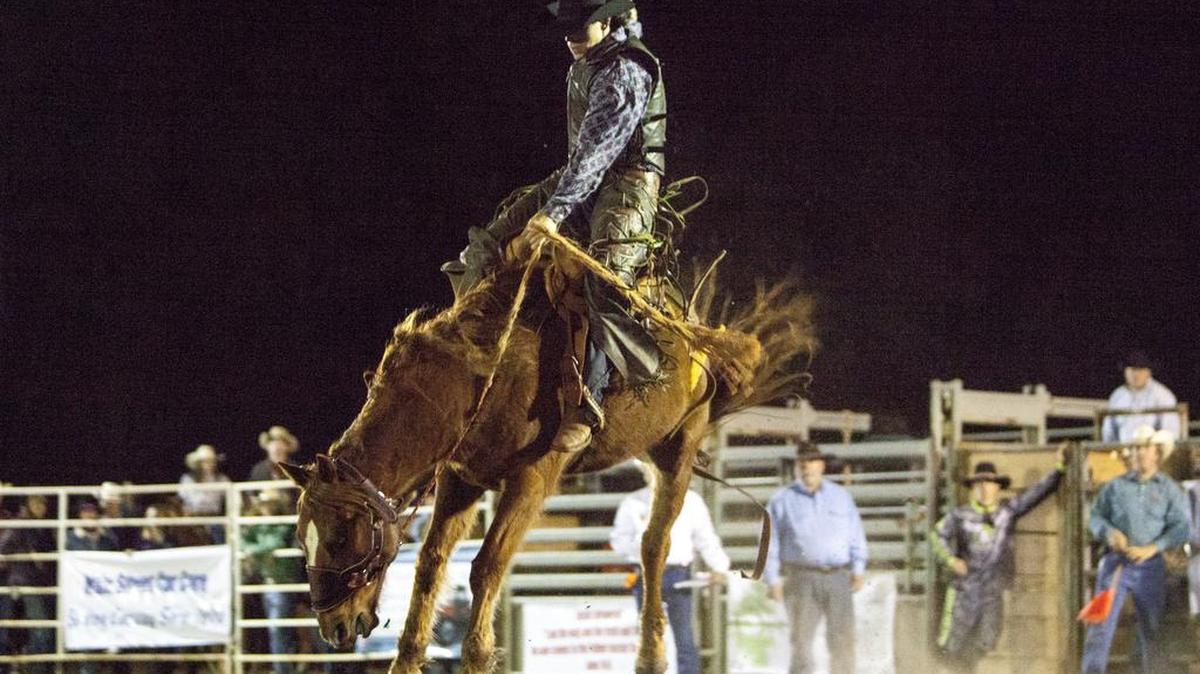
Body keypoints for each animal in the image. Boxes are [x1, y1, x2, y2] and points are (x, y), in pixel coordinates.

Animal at [278, 253, 813, 674]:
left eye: (340, 537)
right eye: (300, 537)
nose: (333, 626)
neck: (470, 382)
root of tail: (694, 335)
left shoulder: (532, 478)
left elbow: (487, 566)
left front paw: (479, 657)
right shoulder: (460, 478)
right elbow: (430, 565)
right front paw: (407, 659)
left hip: (679, 445)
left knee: (654, 547)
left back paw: (650, 655)